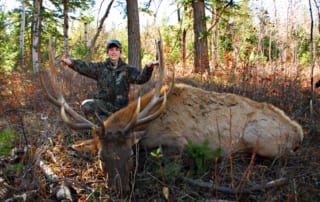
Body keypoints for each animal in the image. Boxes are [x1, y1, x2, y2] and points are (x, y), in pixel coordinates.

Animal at [40, 40, 302, 194]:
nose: (121, 190)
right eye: (102, 158)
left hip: (259, 138)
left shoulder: (178, 142)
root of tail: (298, 130)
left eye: (130, 156)